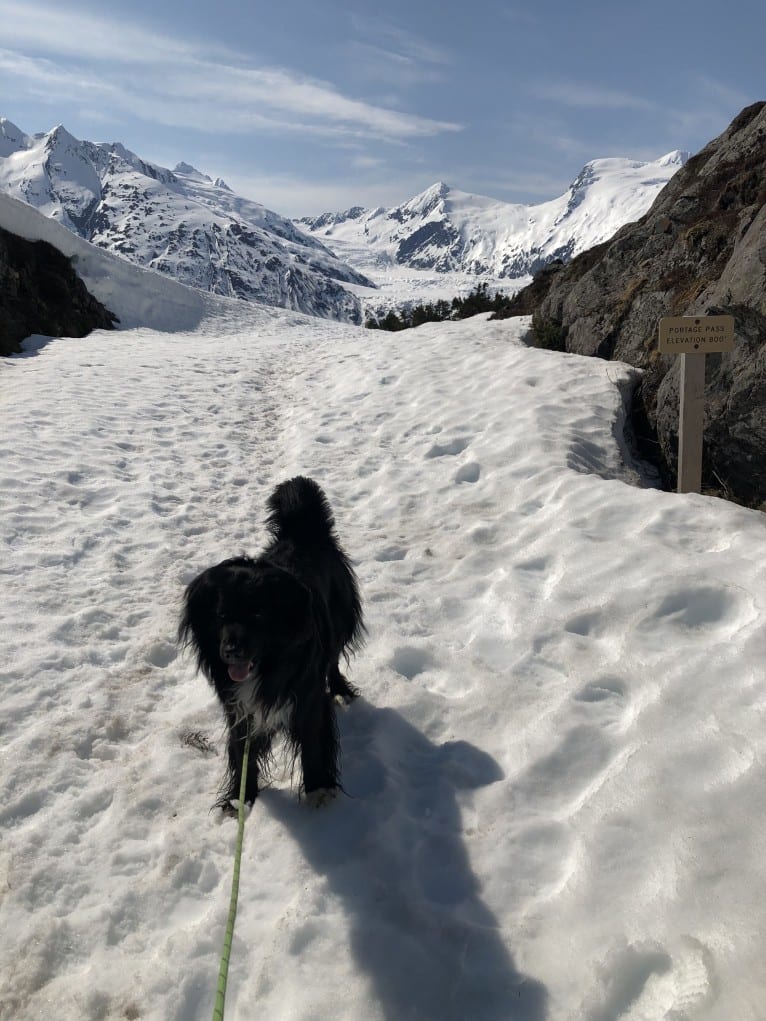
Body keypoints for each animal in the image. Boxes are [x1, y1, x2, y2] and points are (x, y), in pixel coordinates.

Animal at [178, 473, 363, 808]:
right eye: (221, 615)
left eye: (258, 614)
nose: (230, 651)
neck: (268, 665)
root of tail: (301, 530)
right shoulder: (240, 709)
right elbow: (242, 754)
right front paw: (240, 801)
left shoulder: (308, 699)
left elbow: (314, 744)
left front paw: (319, 790)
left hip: (340, 622)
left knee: (333, 661)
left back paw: (342, 692)